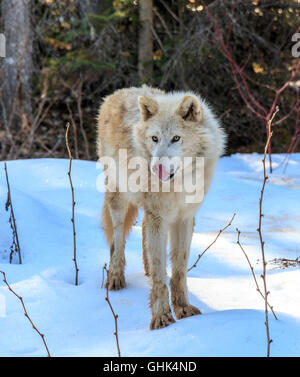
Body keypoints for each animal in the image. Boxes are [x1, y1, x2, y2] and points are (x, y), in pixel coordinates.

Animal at [96, 85, 225, 328]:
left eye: (176, 138)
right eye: (154, 138)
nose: (156, 167)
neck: (180, 183)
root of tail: (118, 92)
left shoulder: (184, 218)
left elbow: (179, 270)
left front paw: (183, 308)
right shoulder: (159, 216)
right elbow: (159, 275)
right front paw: (162, 317)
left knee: (143, 234)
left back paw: (145, 269)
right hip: (118, 199)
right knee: (117, 240)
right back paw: (115, 277)